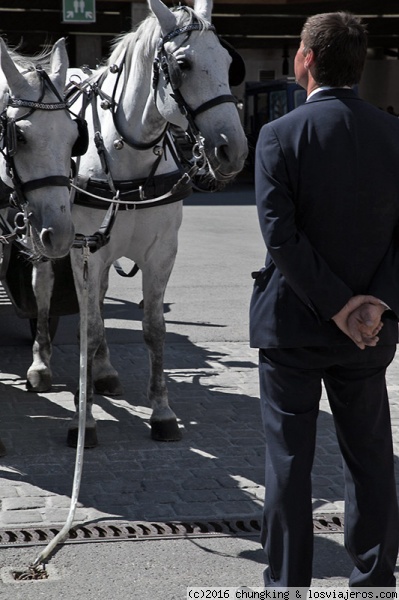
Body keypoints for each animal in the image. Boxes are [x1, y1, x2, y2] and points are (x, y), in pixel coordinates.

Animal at [26, 0, 248, 446]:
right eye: (182, 64)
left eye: (228, 61)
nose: (232, 150)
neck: (126, 154)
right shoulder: (82, 249)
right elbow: (90, 328)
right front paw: (85, 421)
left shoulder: (161, 252)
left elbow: (153, 328)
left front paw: (162, 411)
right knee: (43, 290)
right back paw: (41, 364)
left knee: (100, 300)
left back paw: (104, 371)